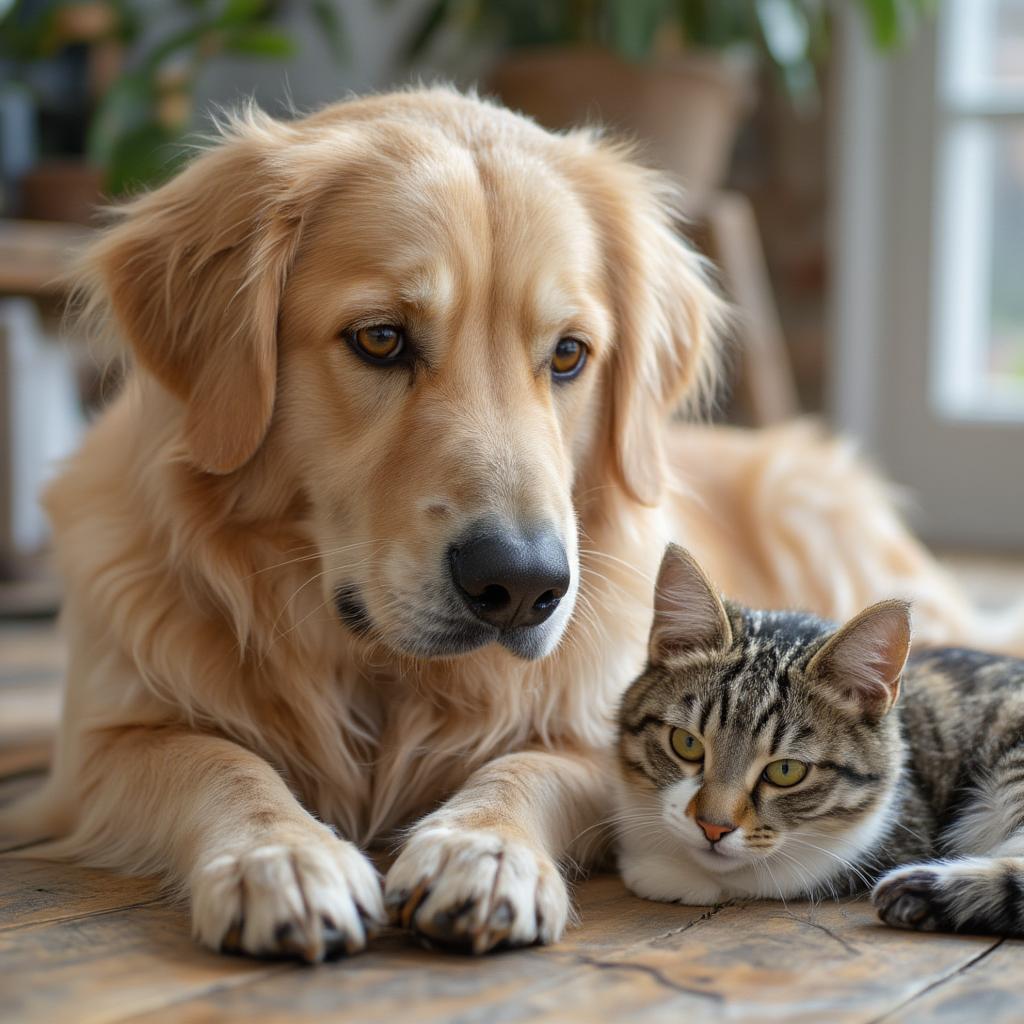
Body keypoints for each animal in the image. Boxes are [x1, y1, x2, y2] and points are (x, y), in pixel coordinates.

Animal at [614, 544, 1024, 937]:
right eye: (687, 743)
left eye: (786, 771)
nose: (713, 827)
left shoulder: (895, 831)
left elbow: (783, 872)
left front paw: (672, 874)